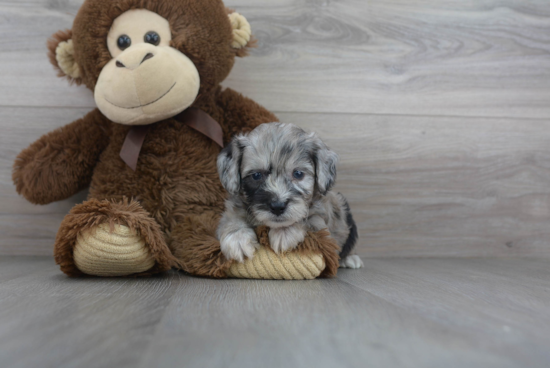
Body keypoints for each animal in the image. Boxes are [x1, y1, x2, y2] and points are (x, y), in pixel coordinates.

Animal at [218, 122, 364, 268]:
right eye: (256, 175)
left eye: (298, 174)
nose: (277, 207)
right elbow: (232, 218)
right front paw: (237, 237)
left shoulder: (321, 225)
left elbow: (306, 219)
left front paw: (285, 231)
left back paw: (350, 258)